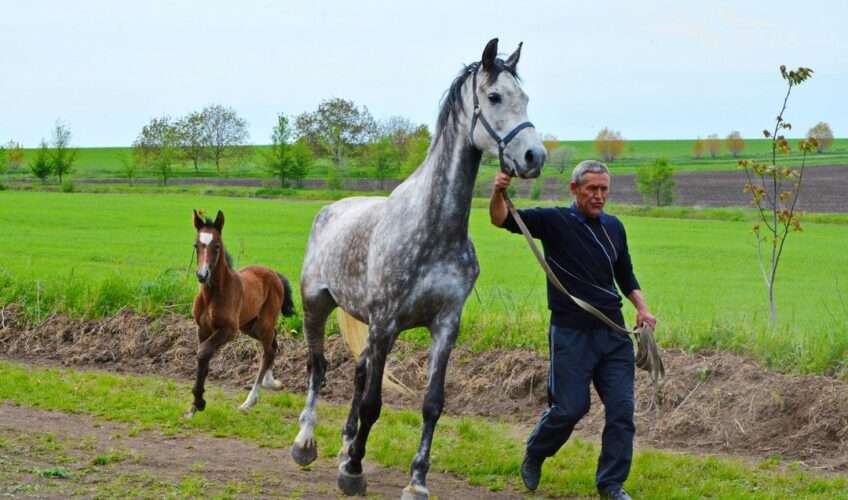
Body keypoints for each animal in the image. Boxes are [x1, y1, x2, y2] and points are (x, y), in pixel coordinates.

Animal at [186, 208, 294, 418]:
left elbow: (203, 353)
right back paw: (271, 382)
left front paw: (199, 401)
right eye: (196, 245)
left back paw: (249, 401)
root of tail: (274, 273)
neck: (213, 294)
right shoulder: (202, 329)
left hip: (263, 323)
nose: (202, 275)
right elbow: (203, 357)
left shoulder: (229, 330)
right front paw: (194, 406)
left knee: (268, 351)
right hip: (250, 326)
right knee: (273, 343)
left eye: (217, 246)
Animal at [290, 40, 544, 500]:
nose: (535, 156)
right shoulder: (386, 322)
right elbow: (373, 403)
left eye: (526, 98)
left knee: (357, 374)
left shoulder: (444, 325)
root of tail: (330, 210)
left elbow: (432, 404)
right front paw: (354, 472)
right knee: (318, 368)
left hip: (365, 324)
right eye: (495, 96)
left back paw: (344, 445)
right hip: (316, 306)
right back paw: (306, 443)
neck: (433, 228)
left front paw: (416, 480)